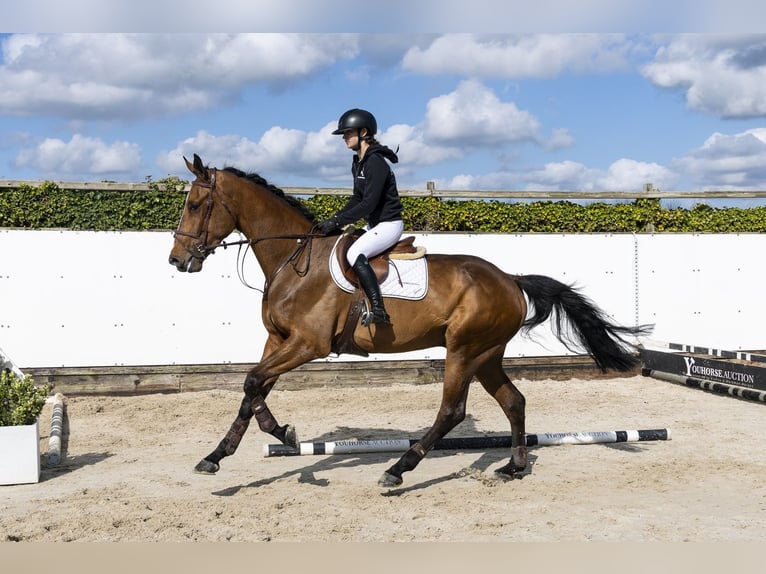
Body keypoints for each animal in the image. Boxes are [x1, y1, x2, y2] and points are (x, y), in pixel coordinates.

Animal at [168, 153, 651, 487]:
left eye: (195, 204)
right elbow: (251, 390)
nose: (176, 260)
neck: (295, 259)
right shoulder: (278, 340)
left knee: (452, 411)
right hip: (487, 354)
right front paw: (221, 454)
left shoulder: (308, 344)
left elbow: (252, 383)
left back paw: (400, 468)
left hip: (463, 350)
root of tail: (510, 280)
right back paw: (513, 467)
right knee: (514, 402)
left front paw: (284, 435)